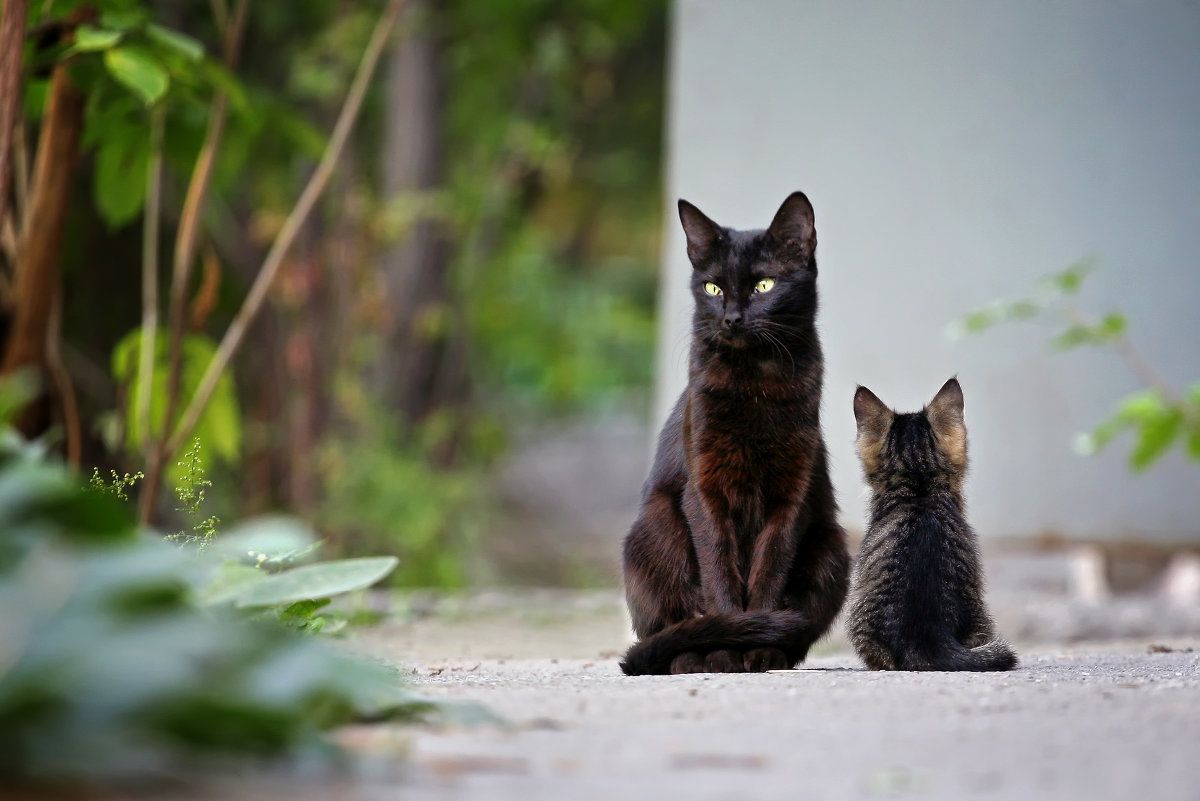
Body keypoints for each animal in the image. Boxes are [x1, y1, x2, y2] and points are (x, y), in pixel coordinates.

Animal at [619, 190, 854, 671]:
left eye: (764, 285)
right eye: (713, 288)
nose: (731, 318)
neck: (756, 383)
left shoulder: (791, 496)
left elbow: (768, 572)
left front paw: (755, 648)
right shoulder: (705, 491)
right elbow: (719, 575)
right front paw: (727, 650)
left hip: (832, 547)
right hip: (654, 528)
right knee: (668, 624)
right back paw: (691, 657)